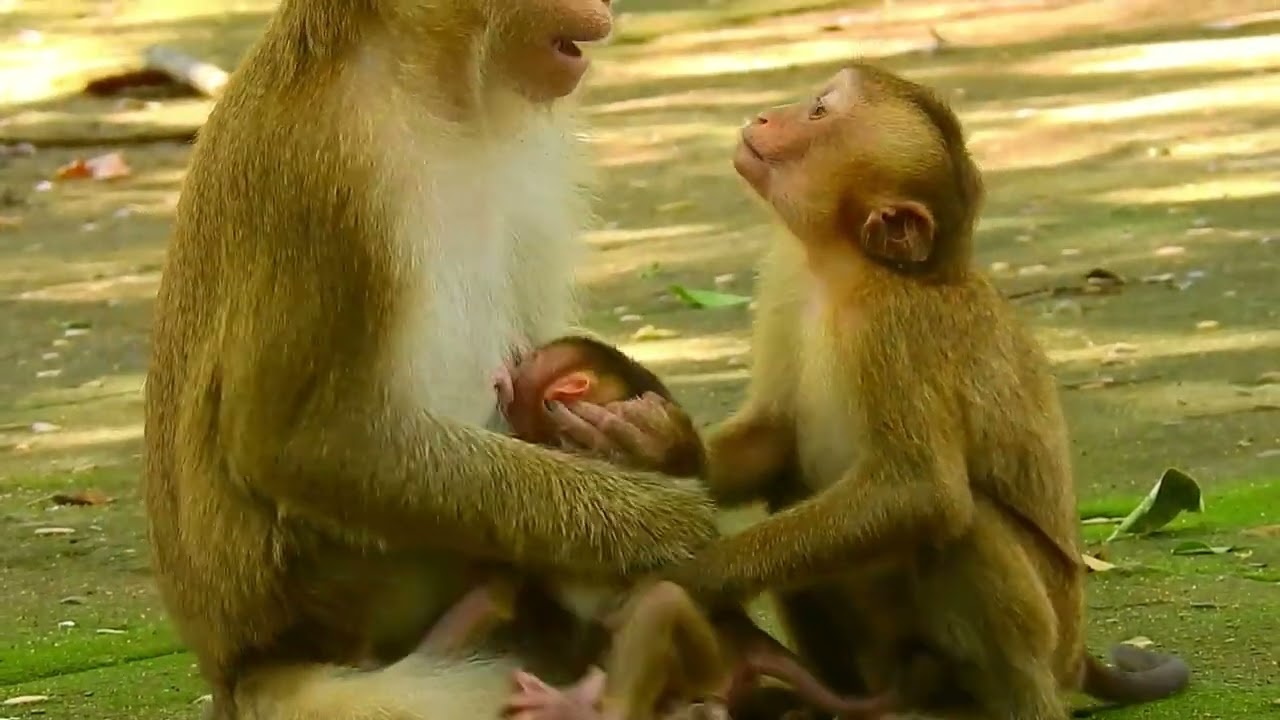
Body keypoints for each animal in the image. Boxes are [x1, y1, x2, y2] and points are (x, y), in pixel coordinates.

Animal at [141, 1, 724, 719]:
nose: (608, 9)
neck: (432, 81)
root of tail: (236, 669)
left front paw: (658, 442)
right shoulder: (328, 172)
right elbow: (298, 443)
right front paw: (656, 519)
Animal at [416, 335, 903, 720]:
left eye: (534, 358)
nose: (519, 358)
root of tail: (748, 643)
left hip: (705, 666)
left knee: (659, 604)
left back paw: (588, 706)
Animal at [658, 60, 1192, 720]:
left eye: (818, 112)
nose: (763, 117)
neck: (843, 270)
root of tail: (1077, 655)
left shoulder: (894, 329)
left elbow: (922, 494)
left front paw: (694, 575)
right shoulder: (785, 278)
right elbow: (774, 440)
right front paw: (639, 437)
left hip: (1052, 631)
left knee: (966, 532)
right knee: (791, 490)